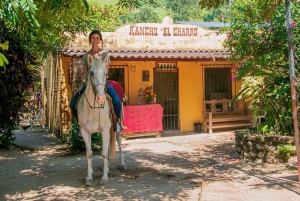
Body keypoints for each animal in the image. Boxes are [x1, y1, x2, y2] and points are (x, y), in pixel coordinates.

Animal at [77, 51, 126, 185]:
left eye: (105, 74)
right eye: (91, 73)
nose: (101, 98)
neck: (93, 108)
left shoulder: (104, 130)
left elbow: (103, 153)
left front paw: (104, 177)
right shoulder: (85, 131)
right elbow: (89, 153)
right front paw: (89, 177)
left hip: (116, 127)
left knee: (118, 142)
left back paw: (122, 164)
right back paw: (108, 166)